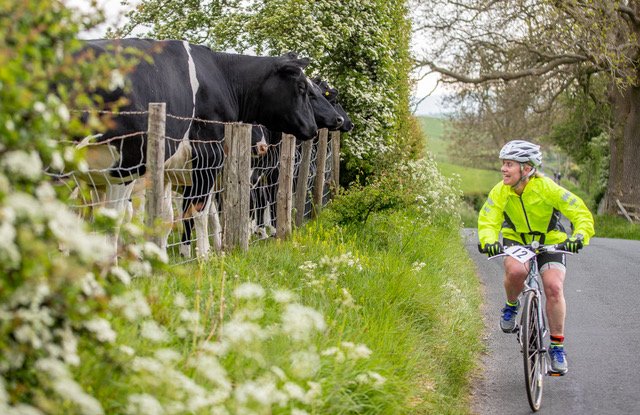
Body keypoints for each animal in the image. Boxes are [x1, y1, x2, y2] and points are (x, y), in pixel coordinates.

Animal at [74, 37, 320, 255]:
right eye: (302, 88)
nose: (313, 128)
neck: (222, 76)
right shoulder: (207, 157)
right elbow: (198, 212)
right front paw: (203, 255)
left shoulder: (167, 173)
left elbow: (166, 217)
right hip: (121, 168)